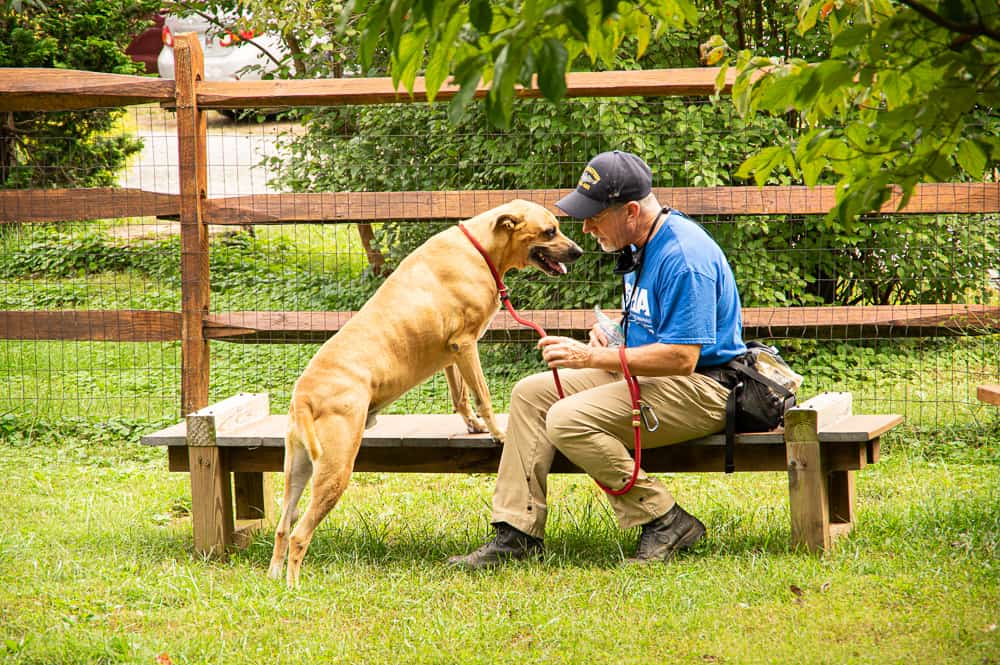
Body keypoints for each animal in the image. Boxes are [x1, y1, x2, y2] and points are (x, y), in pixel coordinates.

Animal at [268, 198, 584, 588]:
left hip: (297, 470)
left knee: (283, 527)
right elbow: (483, 396)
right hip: (334, 470)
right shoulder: (466, 344)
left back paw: (275, 578)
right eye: (549, 231)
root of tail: (302, 396)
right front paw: (497, 432)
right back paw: (294, 586)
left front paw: (474, 427)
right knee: (300, 534)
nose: (579, 252)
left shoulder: (450, 352)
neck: (479, 249)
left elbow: (460, 396)